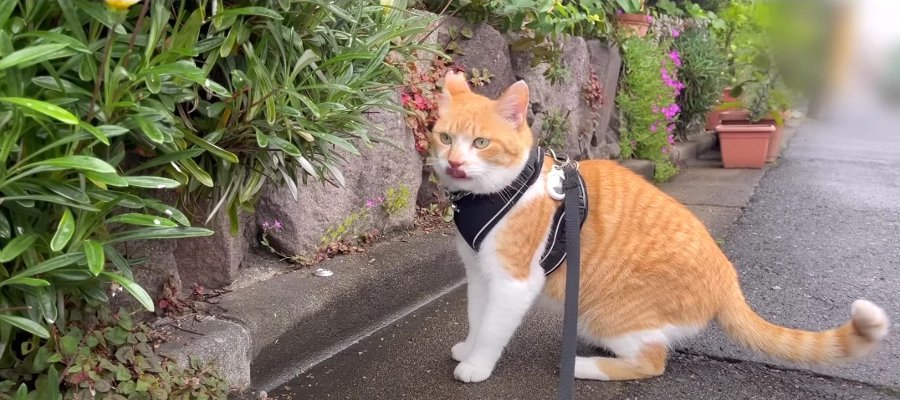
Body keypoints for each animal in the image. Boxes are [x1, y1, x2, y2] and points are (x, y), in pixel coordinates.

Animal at [428, 72, 884, 384]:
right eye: (445, 138)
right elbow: (477, 317)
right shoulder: (479, 273)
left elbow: (493, 328)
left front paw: (477, 365)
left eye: (481, 143)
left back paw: (580, 365)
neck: (496, 194)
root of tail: (728, 278)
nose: (455, 163)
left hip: (602, 313)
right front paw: (468, 349)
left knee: (652, 361)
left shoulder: (514, 281)